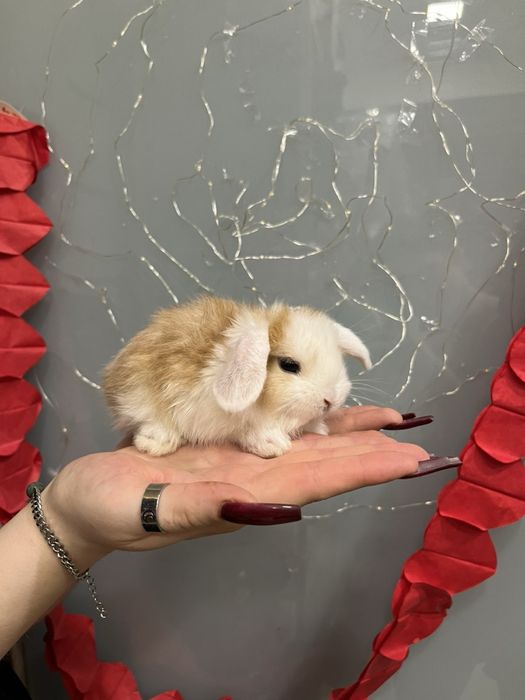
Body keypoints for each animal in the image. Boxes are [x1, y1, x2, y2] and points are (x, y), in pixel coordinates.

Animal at [102, 295, 371, 458]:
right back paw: (156, 443)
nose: (330, 400)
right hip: (139, 393)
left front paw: (319, 428)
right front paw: (273, 445)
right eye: (289, 365)